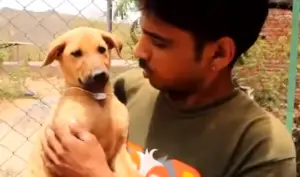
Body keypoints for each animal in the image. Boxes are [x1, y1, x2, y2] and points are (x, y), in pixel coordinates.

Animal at [22, 26, 132, 177]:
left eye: (102, 49)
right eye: (76, 53)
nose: (99, 75)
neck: (99, 103)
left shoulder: (120, 147)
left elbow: (129, 171)